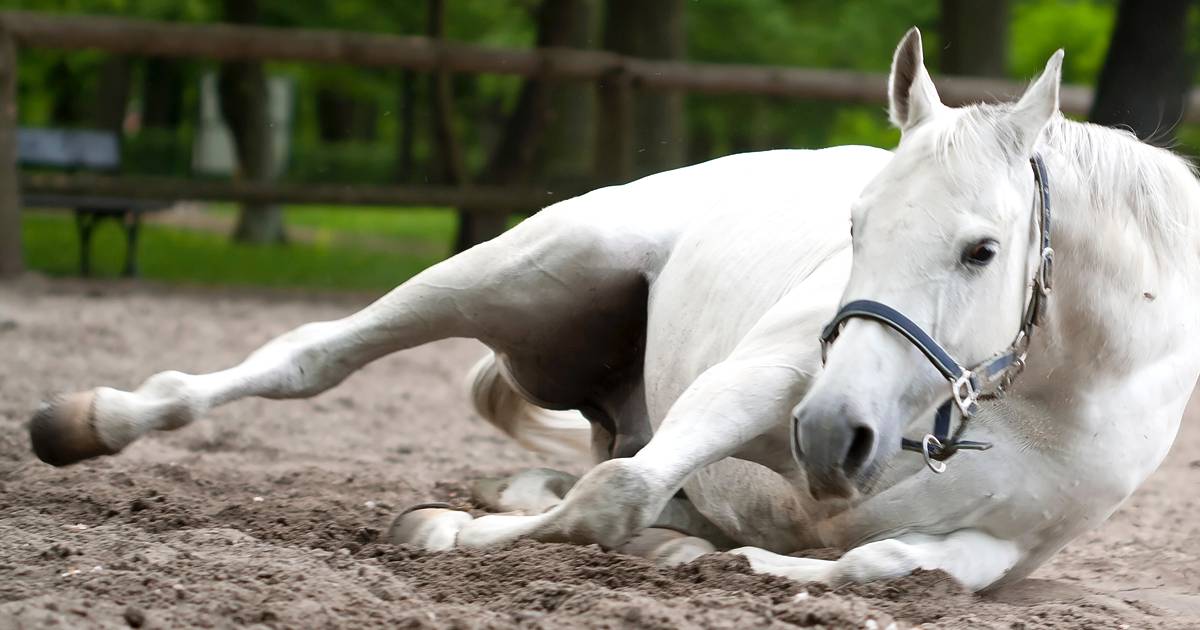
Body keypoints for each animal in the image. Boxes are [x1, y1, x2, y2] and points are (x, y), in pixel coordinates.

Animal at [30, 29, 1200, 590]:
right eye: (857, 225)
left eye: (980, 249)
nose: (834, 436)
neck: (1045, 395)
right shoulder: (765, 381)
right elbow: (612, 496)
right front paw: (444, 532)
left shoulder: (1009, 546)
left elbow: (883, 564)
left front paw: (749, 564)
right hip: (523, 268)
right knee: (314, 356)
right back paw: (85, 422)